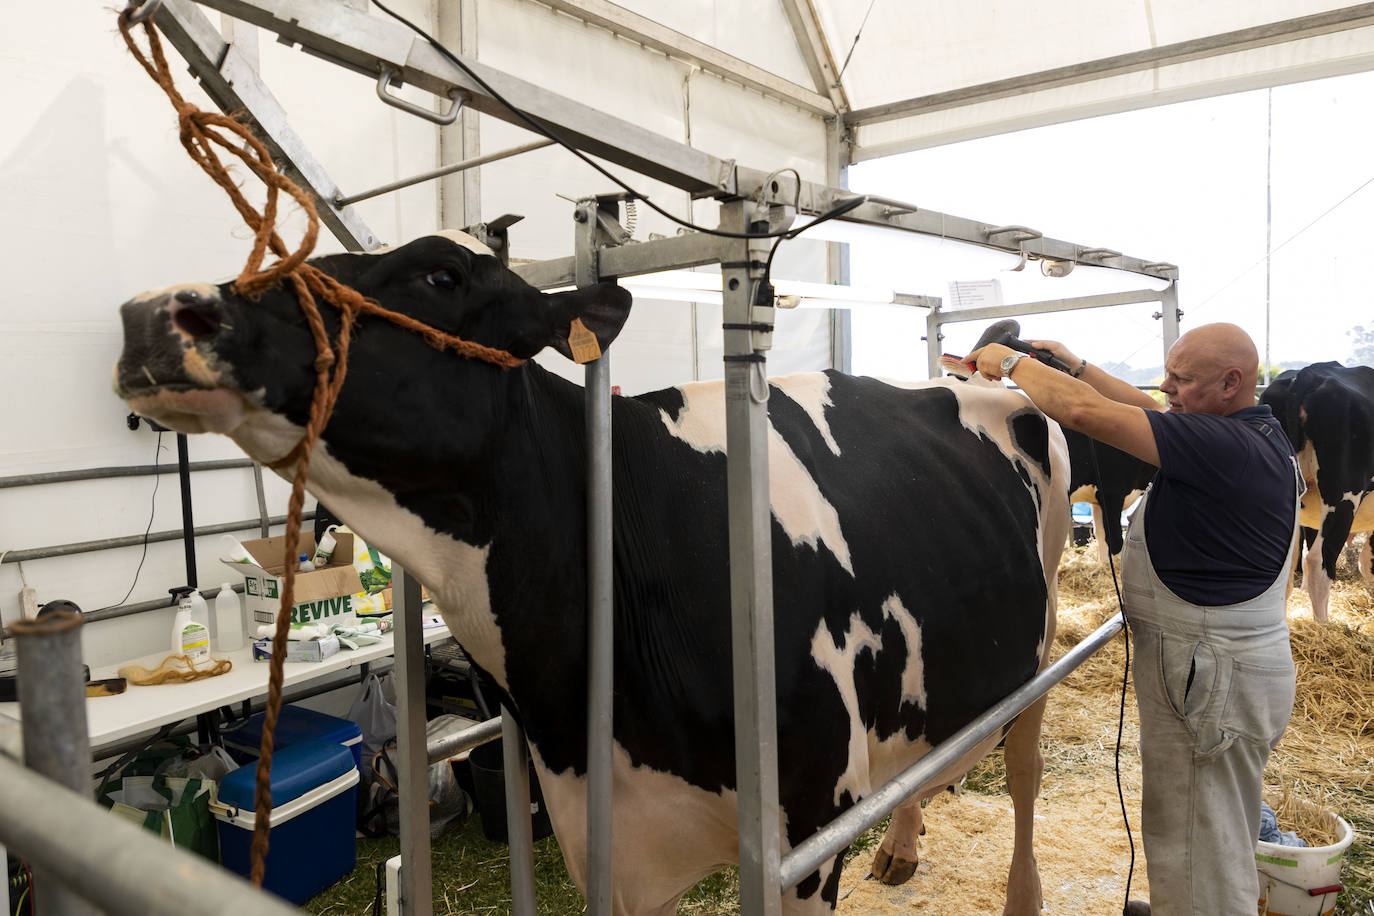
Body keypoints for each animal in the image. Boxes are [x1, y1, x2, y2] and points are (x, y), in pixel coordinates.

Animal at [109, 230, 1071, 916]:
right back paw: (902, 845)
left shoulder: (808, 827)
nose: (158, 312)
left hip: (1042, 635)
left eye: (441, 276)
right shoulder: (609, 837)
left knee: (1025, 770)